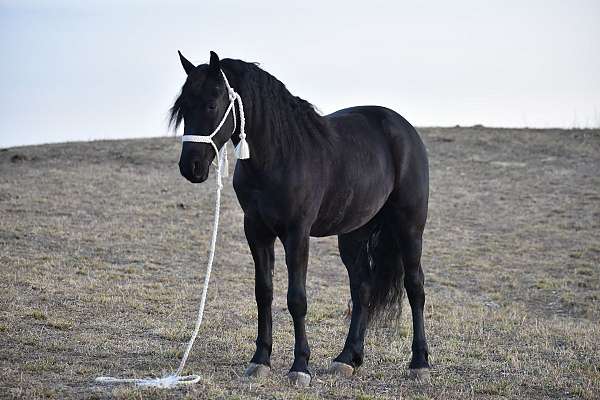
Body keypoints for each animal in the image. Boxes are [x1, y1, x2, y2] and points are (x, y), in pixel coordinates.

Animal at [171, 51, 428, 386]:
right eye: (183, 106)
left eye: (212, 104)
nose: (191, 167)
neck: (279, 156)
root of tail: (403, 127)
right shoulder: (257, 231)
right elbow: (263, 293)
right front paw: (260, 360)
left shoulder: (297, 234)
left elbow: (296, 299)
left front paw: (300, 366)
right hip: (353, 233)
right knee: (362, 288)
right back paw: (347, 359)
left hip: (410, 226)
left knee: (415, 286)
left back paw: (419, 363)